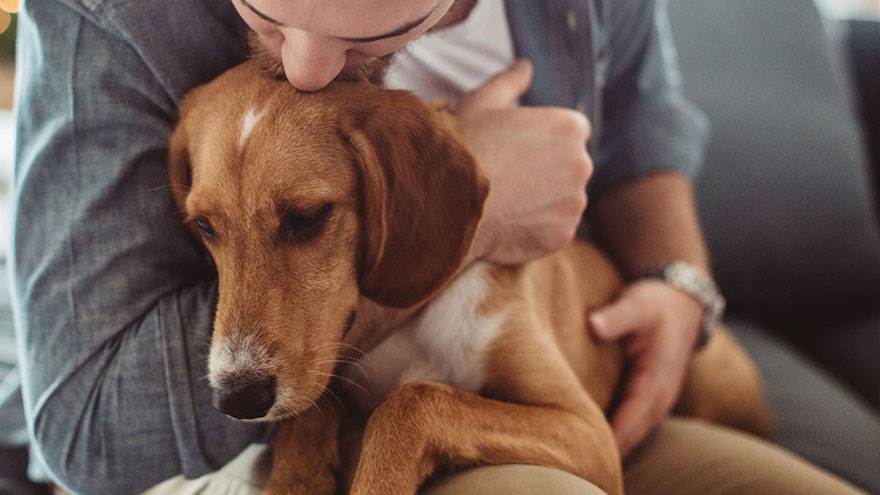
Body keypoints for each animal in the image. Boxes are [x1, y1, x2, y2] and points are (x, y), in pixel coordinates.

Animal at [167, 62, 768, 495]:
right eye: (204, 226)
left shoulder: (587, 429)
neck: (415, 325)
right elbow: (311, 411)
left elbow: (414, 401)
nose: (237, 399)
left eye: (308, 218)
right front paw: (299, 477)